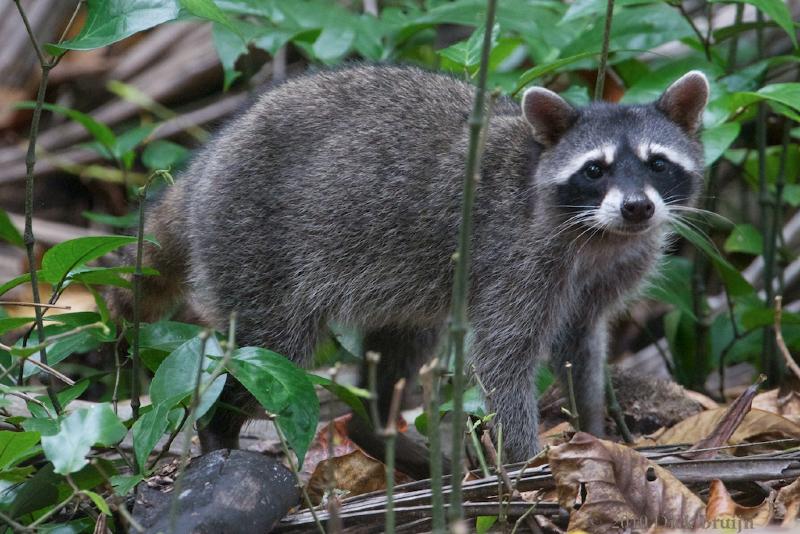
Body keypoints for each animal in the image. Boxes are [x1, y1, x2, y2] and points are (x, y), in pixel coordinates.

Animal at [111, 63, 708, 464]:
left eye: (657, 163)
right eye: (595, 170)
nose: (637, 207)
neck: (600, 236)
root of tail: (204, 165)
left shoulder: (605, 273)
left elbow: (580, 345)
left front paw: (594, 428)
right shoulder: (515, 258)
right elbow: (503, 358)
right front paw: (526, 458)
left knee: (403, 343)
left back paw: (377, 432)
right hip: (250, 245)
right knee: (267, 352)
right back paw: (220, 431)